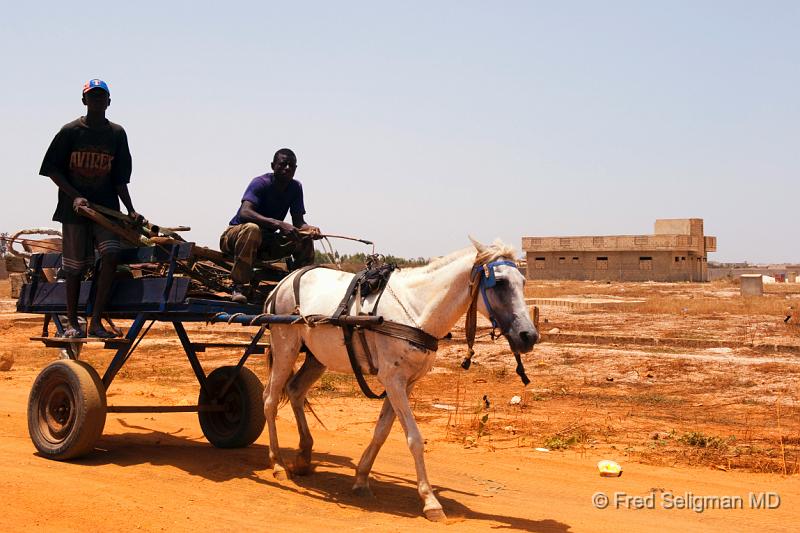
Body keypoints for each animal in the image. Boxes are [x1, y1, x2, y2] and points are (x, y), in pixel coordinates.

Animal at [262, 238, 536, 520]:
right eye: (499, 283)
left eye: (523, 281)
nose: (529, 336)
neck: (416, 310)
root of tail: (284, 282)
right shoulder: (393, 380)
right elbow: (414, 438)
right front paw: (430, 501)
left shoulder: (407, 383)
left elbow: (381, 432)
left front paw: (361, 479)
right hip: (285, 347)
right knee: (270, 400)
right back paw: (278, 464)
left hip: (317, 357)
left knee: (295, 391)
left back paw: (304, 456)